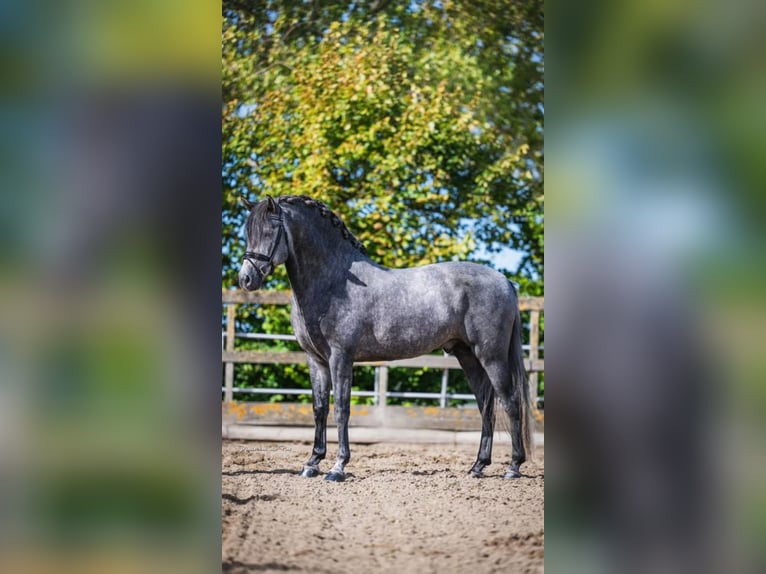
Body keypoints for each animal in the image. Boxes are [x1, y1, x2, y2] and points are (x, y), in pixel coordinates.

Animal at [238, 195, 533, 481]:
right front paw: (312, 463)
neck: (334, 282)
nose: (246, 279)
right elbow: (319, 409)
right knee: (486, 405)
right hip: (467, 355)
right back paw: (478, 466)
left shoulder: (341, 358)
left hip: (491, 356)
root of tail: (506, 282)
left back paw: (513, 467)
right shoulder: (315, 360)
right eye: (248, 233)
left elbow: (342, 408)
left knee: (510, 402)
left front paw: (338, 467)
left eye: (269, 230)